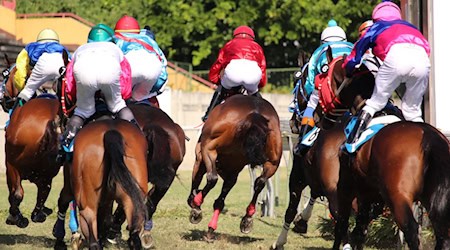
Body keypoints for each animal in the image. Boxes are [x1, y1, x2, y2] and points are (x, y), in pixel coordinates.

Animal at [186, 93, 282, 240]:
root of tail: (256, 113)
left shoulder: (202, 157)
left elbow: (199, 179)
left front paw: (195, 206)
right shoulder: (232, 173)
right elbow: (220, 201)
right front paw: (210, 229)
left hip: (209, 149)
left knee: (212, 178)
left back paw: (197, 203)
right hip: (273, 161)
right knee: (260, 182)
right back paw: (247, 218)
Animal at [322, 47, 448, 249]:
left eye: (321, 79)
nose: (322, 119)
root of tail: (429, 138)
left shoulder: (346, 186)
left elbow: (341, 224)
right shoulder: (369, 193)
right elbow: (360, 230)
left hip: (399, 197)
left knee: (412, 230)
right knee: (442, 233)